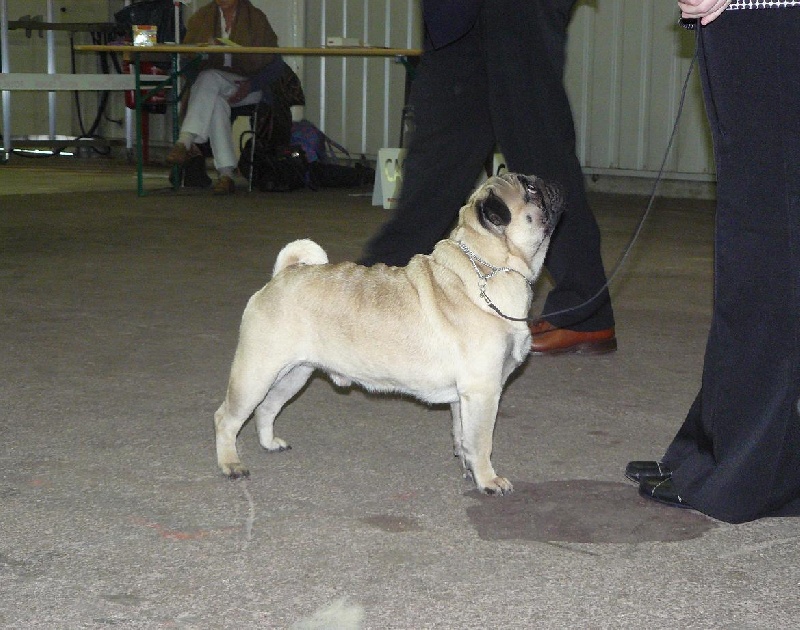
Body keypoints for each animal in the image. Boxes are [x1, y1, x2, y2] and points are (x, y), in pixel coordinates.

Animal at [214, 173, 563, 494]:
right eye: (530, 189)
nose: (549, 182)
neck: (488, 269)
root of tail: (282, 275)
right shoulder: (483, 391)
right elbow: (480, 441)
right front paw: (488, 480)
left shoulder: (465, 396)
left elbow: (462, 435)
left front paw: (468, 469)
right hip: (257, 373)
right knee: (226, 418)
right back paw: (231, 464)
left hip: (295, 374)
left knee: (267, 407)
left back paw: (269, 443)